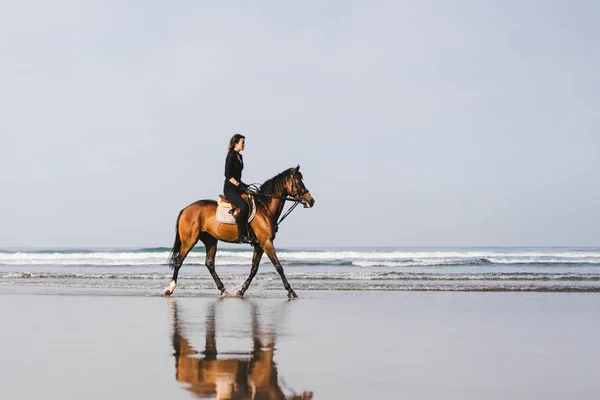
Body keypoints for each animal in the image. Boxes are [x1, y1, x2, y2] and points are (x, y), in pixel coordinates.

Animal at [163, 164, 314, 298]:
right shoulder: (266, 242)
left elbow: (254, 269)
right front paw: (291, 291)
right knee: (179, 262)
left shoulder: (259, 245)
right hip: (189, 241)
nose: (311, 201)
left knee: (209, 264)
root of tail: (186, 209)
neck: (265, 208)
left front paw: (241, 290)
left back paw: (223, 290)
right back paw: (170, 289)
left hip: (210, 240)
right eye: (299, 181)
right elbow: (278, 266)